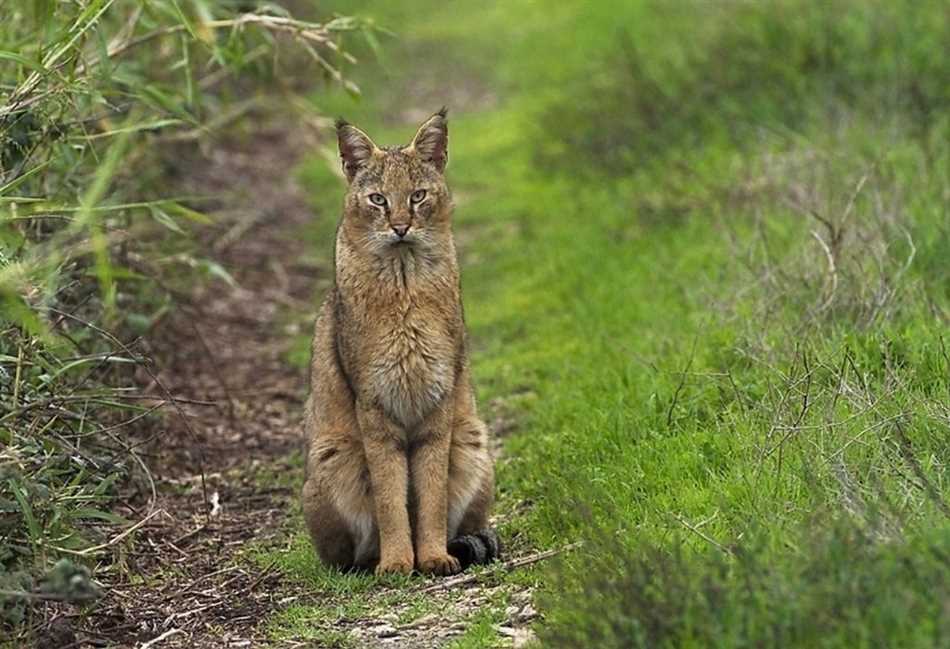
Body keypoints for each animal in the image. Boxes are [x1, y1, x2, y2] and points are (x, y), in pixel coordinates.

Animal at [304, 109, 498, 576]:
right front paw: (396, 561)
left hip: (472, 438)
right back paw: (371, 560)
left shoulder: (437, 402)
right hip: (333, 452)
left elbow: (430, 494)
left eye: (417, 196)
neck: (404, 281)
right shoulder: (375, 405)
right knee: (345, 553)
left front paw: (432, 555)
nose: (400, 227)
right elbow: (390, 496)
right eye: (377, 199)